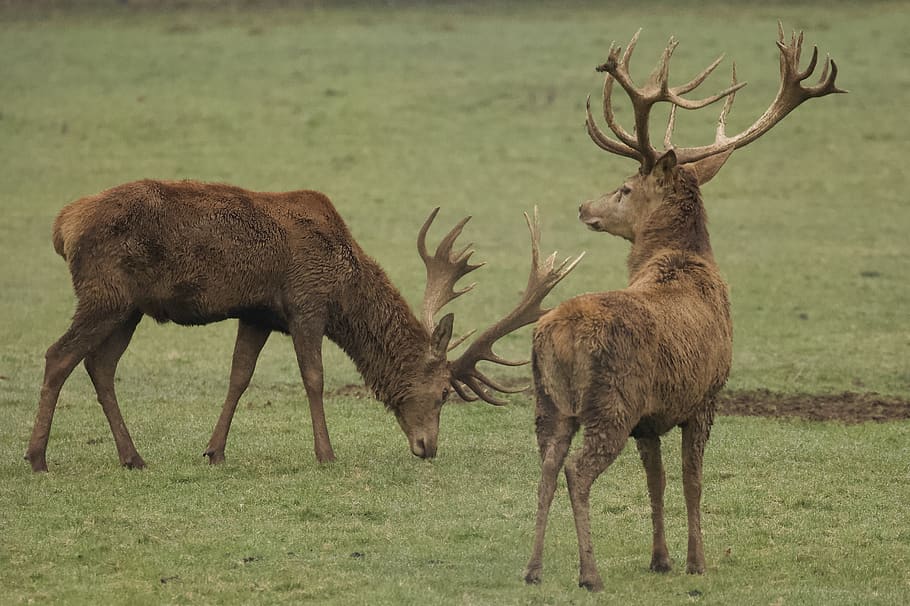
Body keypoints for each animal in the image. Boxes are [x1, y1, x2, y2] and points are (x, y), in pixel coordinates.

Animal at [25, 178, 583, 473]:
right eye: (444, 392)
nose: (428, 449)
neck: (343, 284)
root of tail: (61, 227)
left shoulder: (257, 314)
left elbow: (239, 378)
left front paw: (214, 450)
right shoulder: (306, 304)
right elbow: (313, 378)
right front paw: (326, 453)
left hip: (129, 307)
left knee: (99, 365)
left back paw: (133, 457)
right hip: (104, 294)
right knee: (58, 355)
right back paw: (37, 457)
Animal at [523, 23, 844, 591]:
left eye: (624, 188)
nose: (584, 206)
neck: (683, 261)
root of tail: (553, 334)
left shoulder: (653, 417)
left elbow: (658, 481)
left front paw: (662, 558)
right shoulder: (707, 395)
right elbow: (694, 481)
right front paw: (696, 561)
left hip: (550, 401)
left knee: (547, 466)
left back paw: (535, 569)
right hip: (611, 402)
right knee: (577, 471)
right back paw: (590, 573)